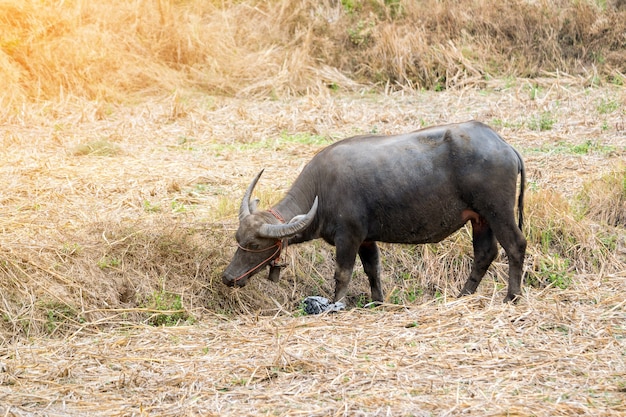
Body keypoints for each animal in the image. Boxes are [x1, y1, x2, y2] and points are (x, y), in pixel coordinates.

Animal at [222, 120, 524, 302]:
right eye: (237, 239)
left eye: (255, 244)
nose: (228, 277)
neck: (322, 189)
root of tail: (504, 145)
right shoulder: (367, 240)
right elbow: (373, 271)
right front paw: (377, 301)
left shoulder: (349, 237)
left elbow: (343, 274)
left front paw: (335, 304)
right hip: (480, 219)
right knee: (485, 253)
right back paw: (463, 295)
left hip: (498, 212)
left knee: (515, 245)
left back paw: (512, 297)